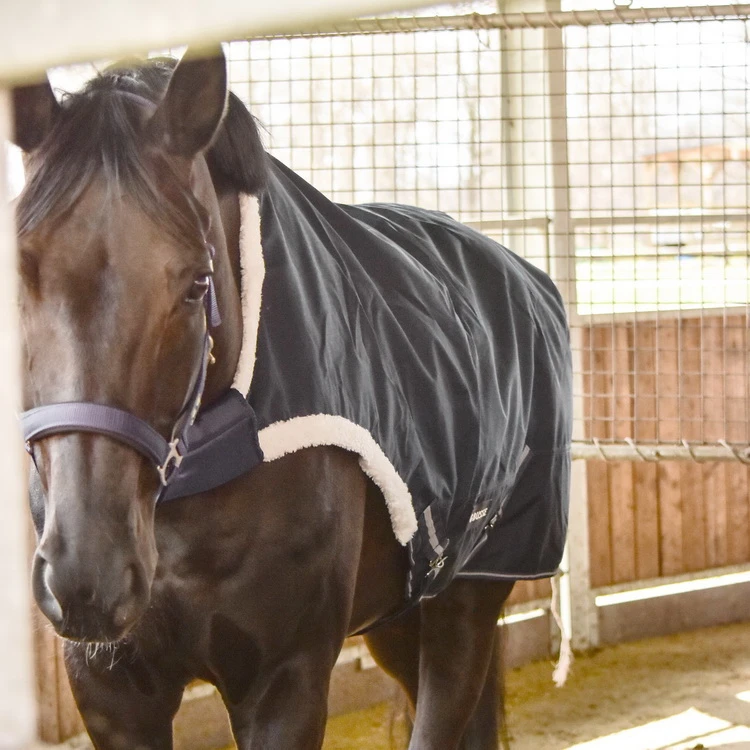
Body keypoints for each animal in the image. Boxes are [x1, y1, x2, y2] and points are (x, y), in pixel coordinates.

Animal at [12, 46, 572, 749]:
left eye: (197, 284)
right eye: (17, 274)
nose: (89, 577)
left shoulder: (285, 681)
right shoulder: (113, 695)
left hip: (465, 600)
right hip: (399, 612)